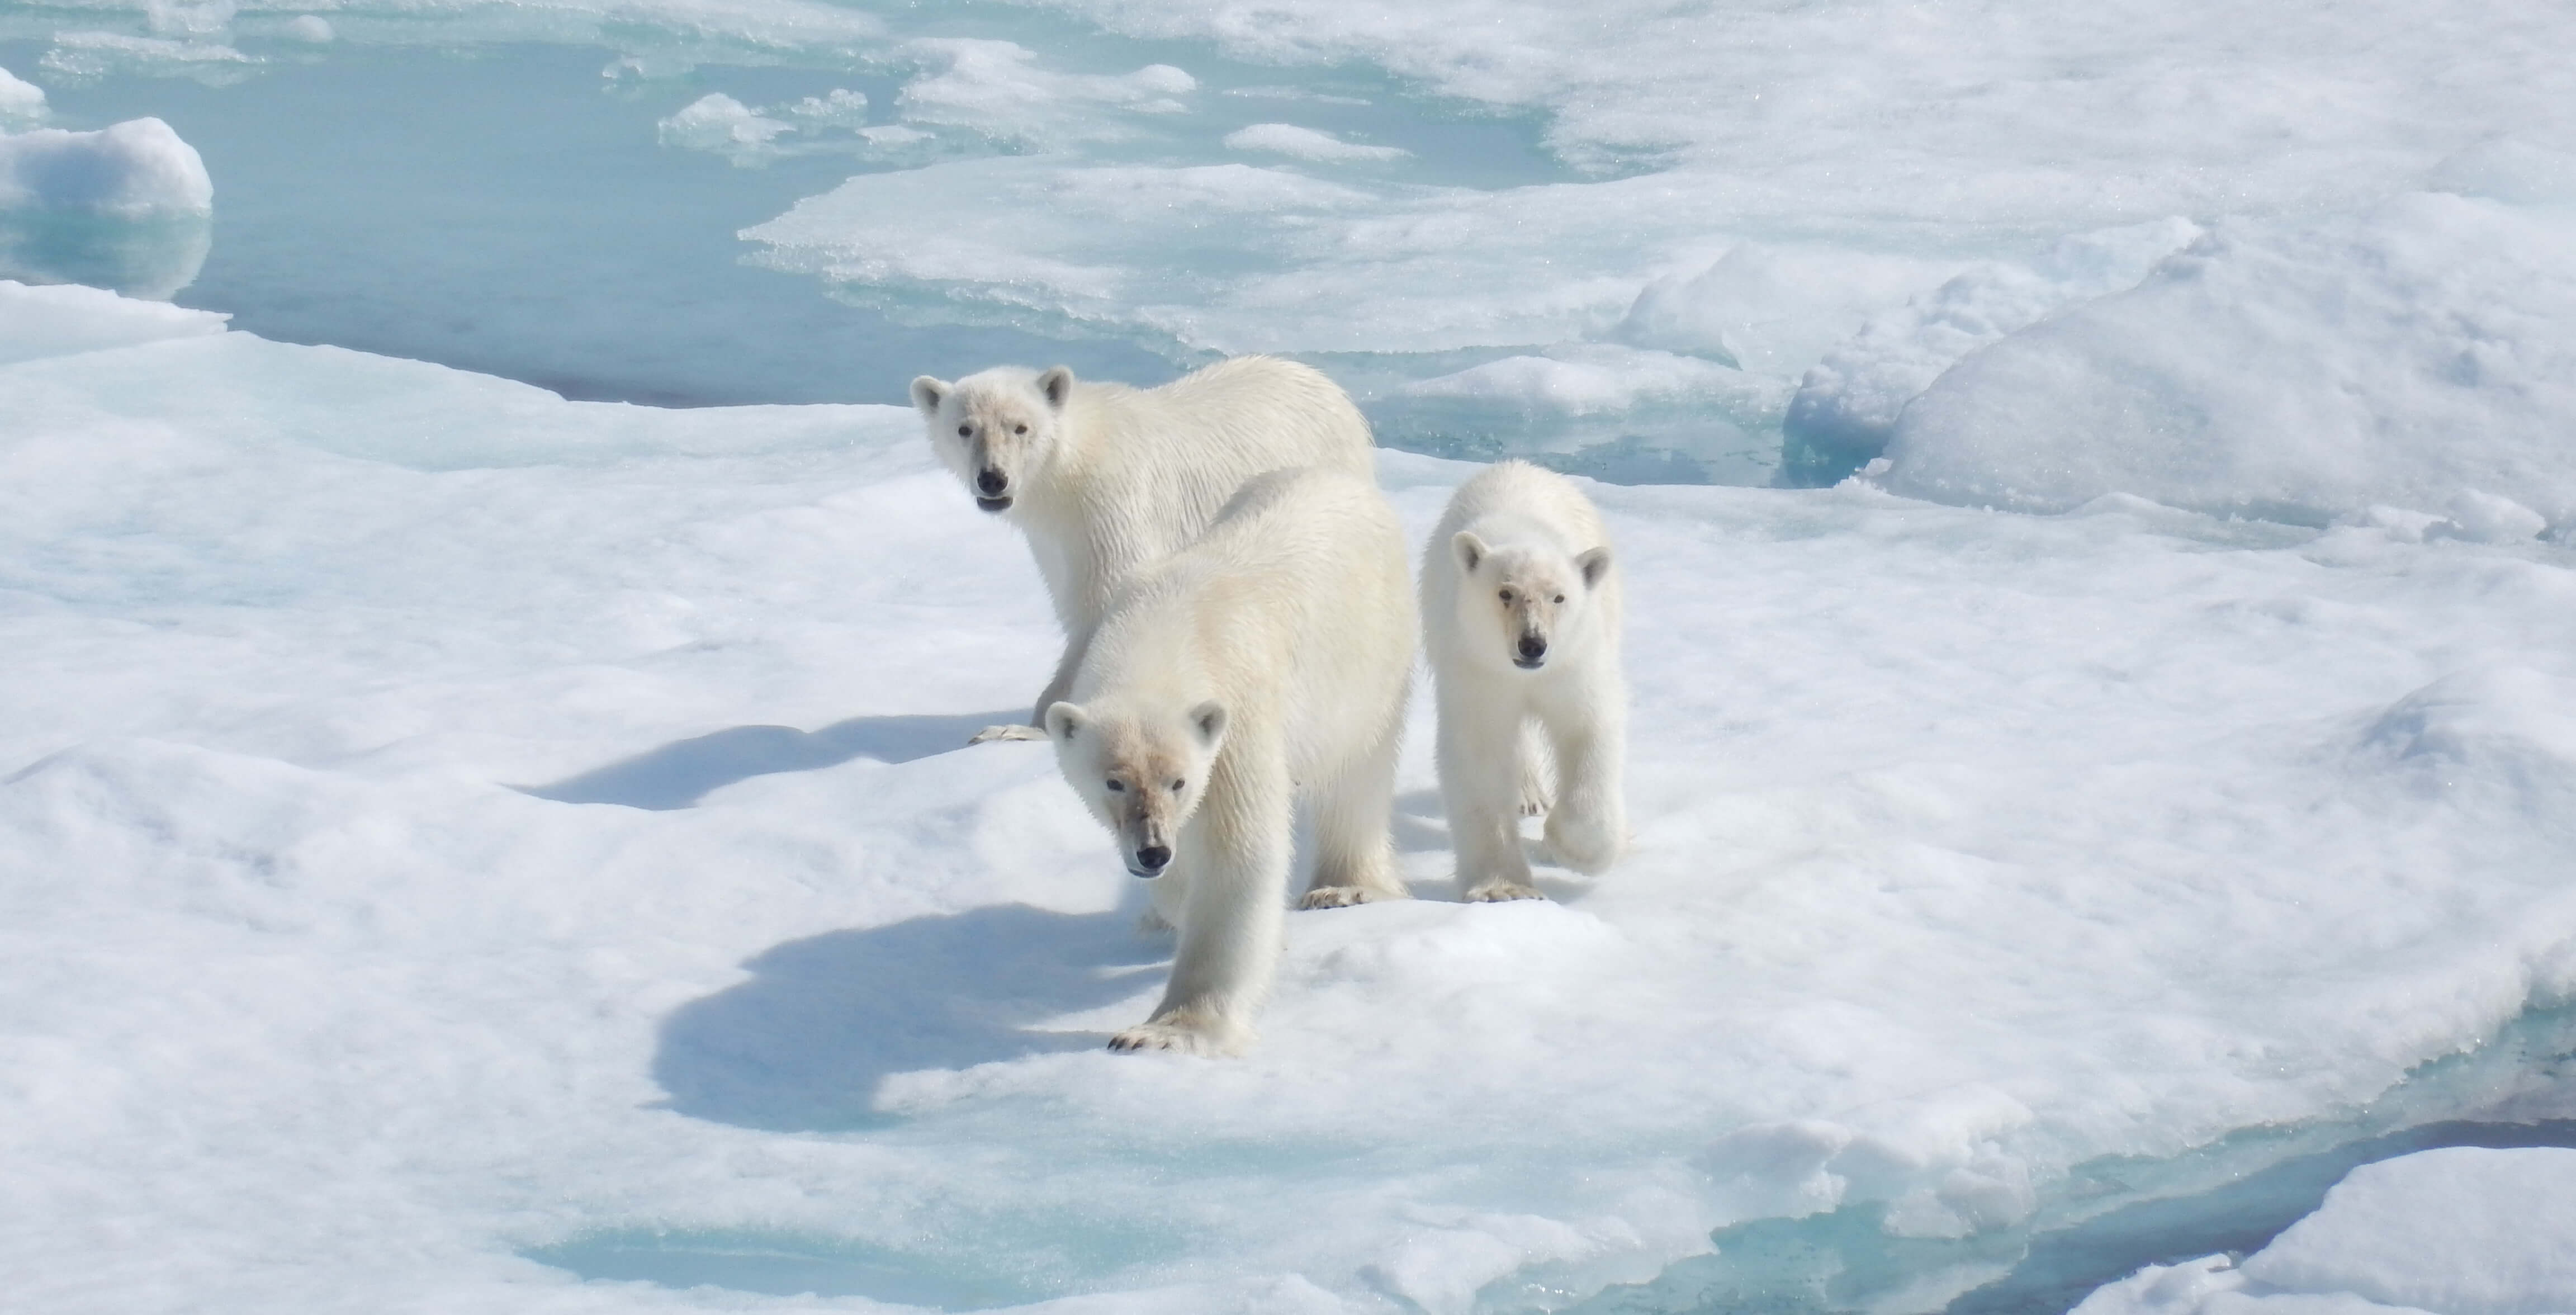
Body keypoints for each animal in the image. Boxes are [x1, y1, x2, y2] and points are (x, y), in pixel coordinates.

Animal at [912, 351, 1380, 737]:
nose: (993, 478)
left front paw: (1023, 728)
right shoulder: (1056, 542)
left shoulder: (1110, 510)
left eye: (1020, 427)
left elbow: (1103, 603)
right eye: (964, 429)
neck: (1069, 472)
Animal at [1040, 466, 1412, 1052]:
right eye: (1114, 783)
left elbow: (1238, 854)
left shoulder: (1238, 721)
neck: (1168, 624)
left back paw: (1344, 884)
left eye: (1179, 781)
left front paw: (1165, 1030)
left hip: (1373, 660)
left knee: (1357, 776)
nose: (1152, 852)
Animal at [1422, 456, 1617, 897]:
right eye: (1505, 593)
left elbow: (1587, 728)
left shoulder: (1573, 661)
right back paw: (1528, 796)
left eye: (1558, 597)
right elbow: (1480, 753)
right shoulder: (1476, 665)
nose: (1532, 645)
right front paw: (1503, 887)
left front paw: (1573, 849)